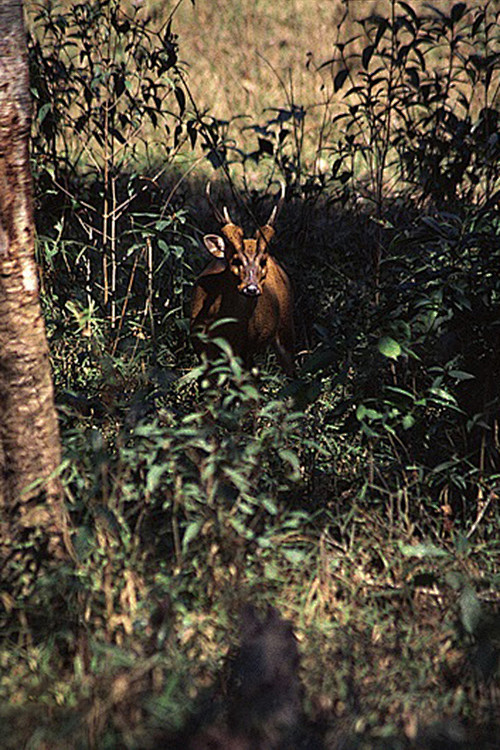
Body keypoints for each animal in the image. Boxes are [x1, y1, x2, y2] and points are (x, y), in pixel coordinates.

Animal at [190, 183, 292, 376]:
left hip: (286, 327)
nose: (251, 288)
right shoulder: (200, 346)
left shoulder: (247, 347)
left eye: (262, 261)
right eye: (235, 260)